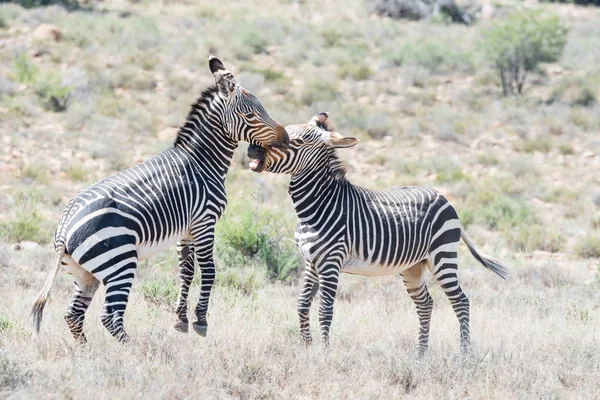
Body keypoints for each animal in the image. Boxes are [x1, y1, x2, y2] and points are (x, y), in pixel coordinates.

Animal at [31, 56, 290, 342]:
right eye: (249, 115)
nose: (287, 138)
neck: (202, 161)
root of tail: (63, 230)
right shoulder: (205, 222)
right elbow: (209, 270)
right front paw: (200, 321)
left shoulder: (187, 228)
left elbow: (186, 270)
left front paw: (181, 319)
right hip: (120, 262)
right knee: (110, 317)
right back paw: (133, 350)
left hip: (85, 273)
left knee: (74, 315)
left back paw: (87, 351)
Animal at [246, 111, 508, 354]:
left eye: (297, 141)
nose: (251, 149)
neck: (318, 205)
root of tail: (442, 196)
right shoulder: (311, 261)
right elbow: (302, 304)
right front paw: (306, 346)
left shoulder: (331, 261)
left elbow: (325, 310)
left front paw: (324, 352)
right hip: (413, 266)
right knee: (425, 304)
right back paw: (420, 355)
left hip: (443, 257)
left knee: (460, 301)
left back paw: (464, 353)